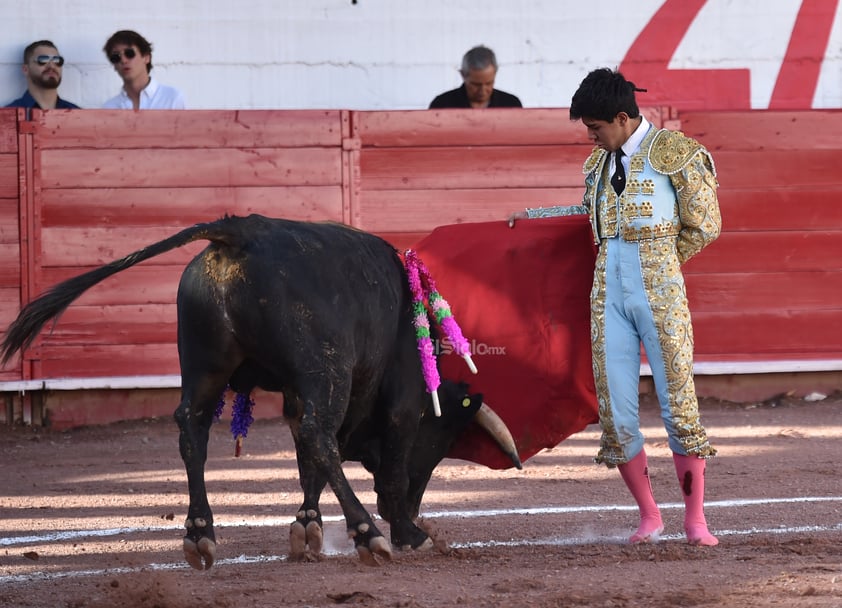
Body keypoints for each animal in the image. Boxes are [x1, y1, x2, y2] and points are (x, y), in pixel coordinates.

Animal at [1, 215, 520, 568]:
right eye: (437, 441)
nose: (411, 512)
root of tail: (240, 231)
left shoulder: (295, 391)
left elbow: (309, 461)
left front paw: (308, 529)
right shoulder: (399, 397)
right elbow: (367, 455)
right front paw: (408, 533)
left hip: (206, 365)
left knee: (194, 428)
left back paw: (200, 533)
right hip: (326, 370)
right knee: (317, 433)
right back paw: (365, 533)